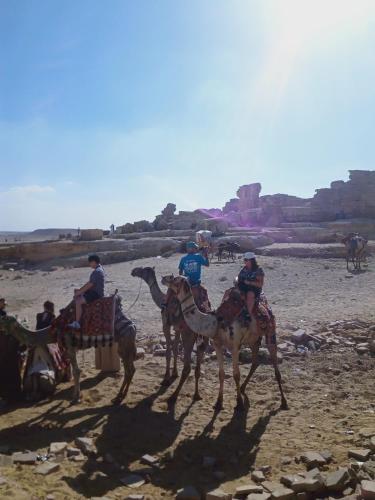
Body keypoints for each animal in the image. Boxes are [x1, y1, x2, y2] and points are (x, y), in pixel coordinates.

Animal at [0, 294, 137, 404]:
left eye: (5, 318)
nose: (0, 320)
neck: (53, 331)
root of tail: (133, 326)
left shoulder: (69, 344)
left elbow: (77, 371)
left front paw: (76, 398)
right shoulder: (72, 348)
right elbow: (76, 370)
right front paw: (75, 395)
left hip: (125, 341)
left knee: (129, 369)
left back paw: (118, 397)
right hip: (125, 344)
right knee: (131, 369)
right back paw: (121, 395)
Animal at [131, 266, 209, 402]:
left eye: (143, 269)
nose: (133, 271)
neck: (162, 300)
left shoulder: (166, 324)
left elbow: (168, 351)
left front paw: (166, 378)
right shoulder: (177, 328)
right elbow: (175, 349)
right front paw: (174, 374)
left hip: (188, 334)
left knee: (188, 367)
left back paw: (174, 396)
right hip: (203, 338)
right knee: (198, 365)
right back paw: (197, 395)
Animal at [162, 276, 288, 412]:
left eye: (175, 279)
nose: (163, 279)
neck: (215, 322)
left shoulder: (235, 346)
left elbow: (236, 374)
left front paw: (239, 404)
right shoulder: (217, 344)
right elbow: (221, 374)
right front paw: (218, 402)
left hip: (270, 331)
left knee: (275, 367)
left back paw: (284, 402)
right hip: (253, 340)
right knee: (255, 362)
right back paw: (243, 388)